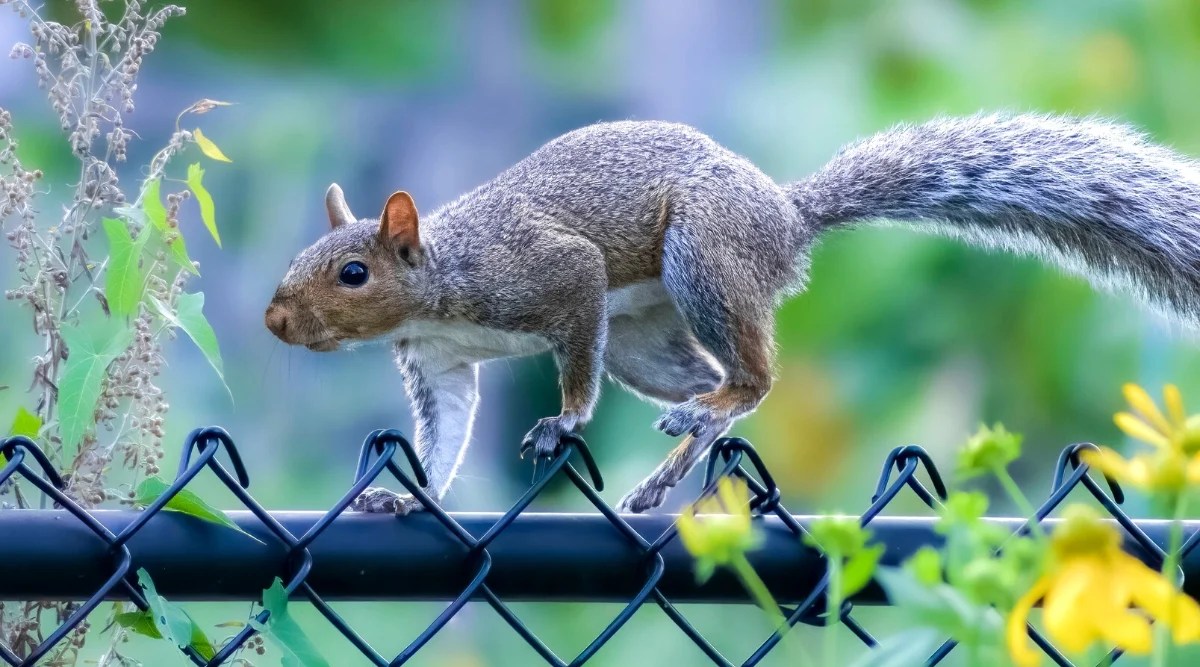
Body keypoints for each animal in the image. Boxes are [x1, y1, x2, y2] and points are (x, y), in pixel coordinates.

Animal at [265, 113, 1200, 515]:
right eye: (299, 258)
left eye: (353, 272)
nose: (274, 323)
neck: (442, 276)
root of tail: (785, 216)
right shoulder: (441, 366)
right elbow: (446, 436)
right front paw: (408, 497)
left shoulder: (550, 274)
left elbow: (572, 359)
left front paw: (563, 420)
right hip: (644, 340)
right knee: (717, 387)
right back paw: (676, 459)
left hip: (702, 259)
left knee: (754, 377)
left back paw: (705, 419)